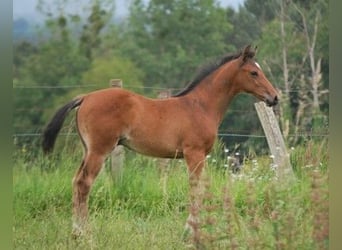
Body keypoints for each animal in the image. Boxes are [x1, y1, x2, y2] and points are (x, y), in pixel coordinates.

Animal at [42, 44, 278, 236]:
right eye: (254, 72)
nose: (274, 97)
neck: (200, 106)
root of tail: (85, 97)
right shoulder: (194, 154)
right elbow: (195, 188)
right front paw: (190, 230)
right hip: (99, 151)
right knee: (84, 183)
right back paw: (83, 232)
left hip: (88, 150)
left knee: (76, 181)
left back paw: (76, 230)